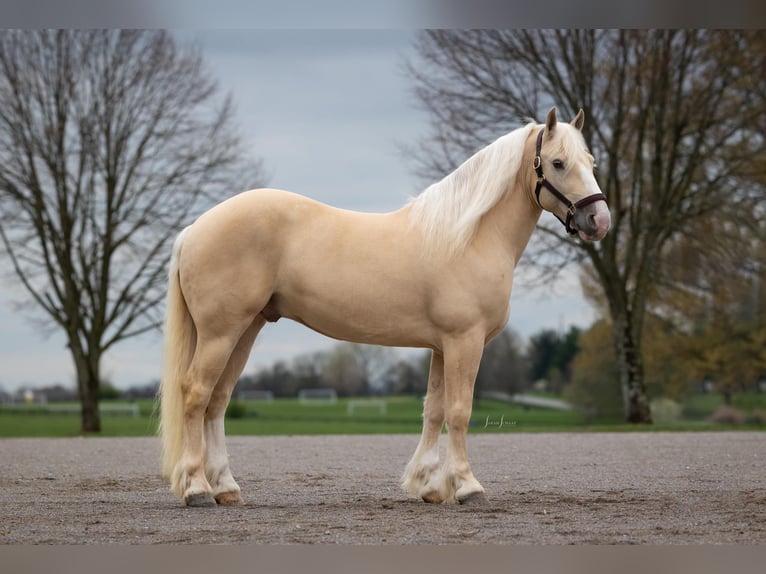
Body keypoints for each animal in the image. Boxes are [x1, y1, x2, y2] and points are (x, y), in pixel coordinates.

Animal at [158, 108, 612, 508]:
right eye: (557, 162)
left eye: (591, 161)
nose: (600, 220)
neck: (468, 238)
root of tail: (195, 228)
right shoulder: (465, 341)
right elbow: (460, 411)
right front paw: (466, 486)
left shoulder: (442, 346)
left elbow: (434, 410)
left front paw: (429, 485)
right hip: (221, 332)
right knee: (196, 394)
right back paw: (198, 489)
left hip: (245, 329)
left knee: (218, 401)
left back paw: (226, 489)